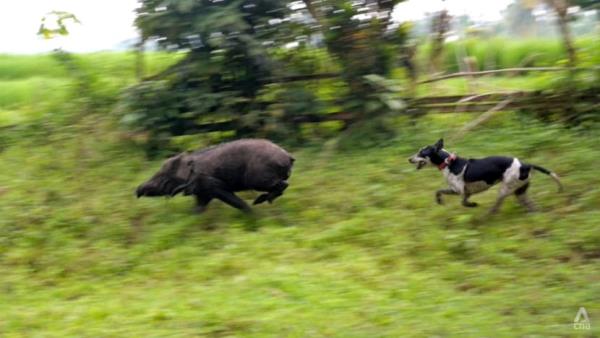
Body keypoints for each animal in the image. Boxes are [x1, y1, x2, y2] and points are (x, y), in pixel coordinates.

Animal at [408, 140, 564, 214]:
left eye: (421, 152)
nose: (409, 159)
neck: (449, 162)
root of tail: (525, 165)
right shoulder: (458, 191)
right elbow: (438, 191)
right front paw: (439, 201)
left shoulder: (462, 192)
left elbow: (463, 203)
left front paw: (473, 205)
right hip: (520, 192)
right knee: (532, 207)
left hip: (505, 190)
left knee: (496, 208)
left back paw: (486, 217)